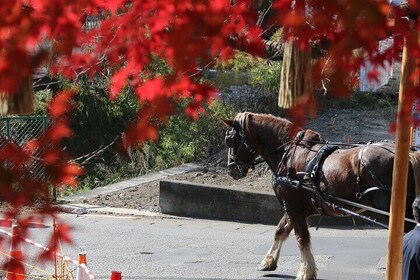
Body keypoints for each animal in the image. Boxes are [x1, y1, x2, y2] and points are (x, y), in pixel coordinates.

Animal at [221, 111, 418, 280]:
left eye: (230, 140)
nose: (232, 168)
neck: (288, 153)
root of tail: (409, 154)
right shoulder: (293, 207)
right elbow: (280, 230)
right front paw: (268, 261)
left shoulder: (293, 207)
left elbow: (301, 238)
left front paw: (305, 272)